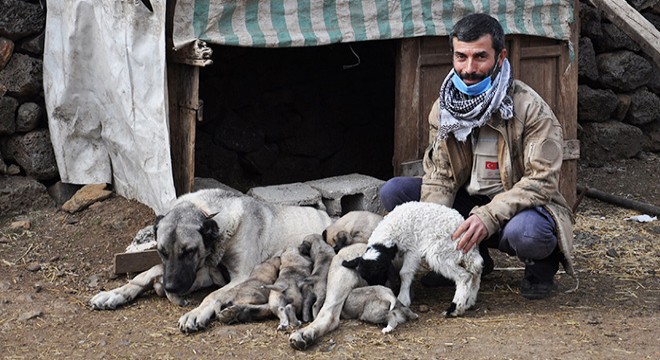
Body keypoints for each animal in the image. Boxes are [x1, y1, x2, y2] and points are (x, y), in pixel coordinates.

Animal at [342, 201, 482, 316]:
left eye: (380, 273)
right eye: (365, 277)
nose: (377, 289)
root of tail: (463, 228)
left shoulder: (412, 250)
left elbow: (404, 273)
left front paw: (403, 298)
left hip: (441, 251)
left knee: (465, 276)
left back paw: (455, 309)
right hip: (462, 252)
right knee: (476, 269)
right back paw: (469, 302)